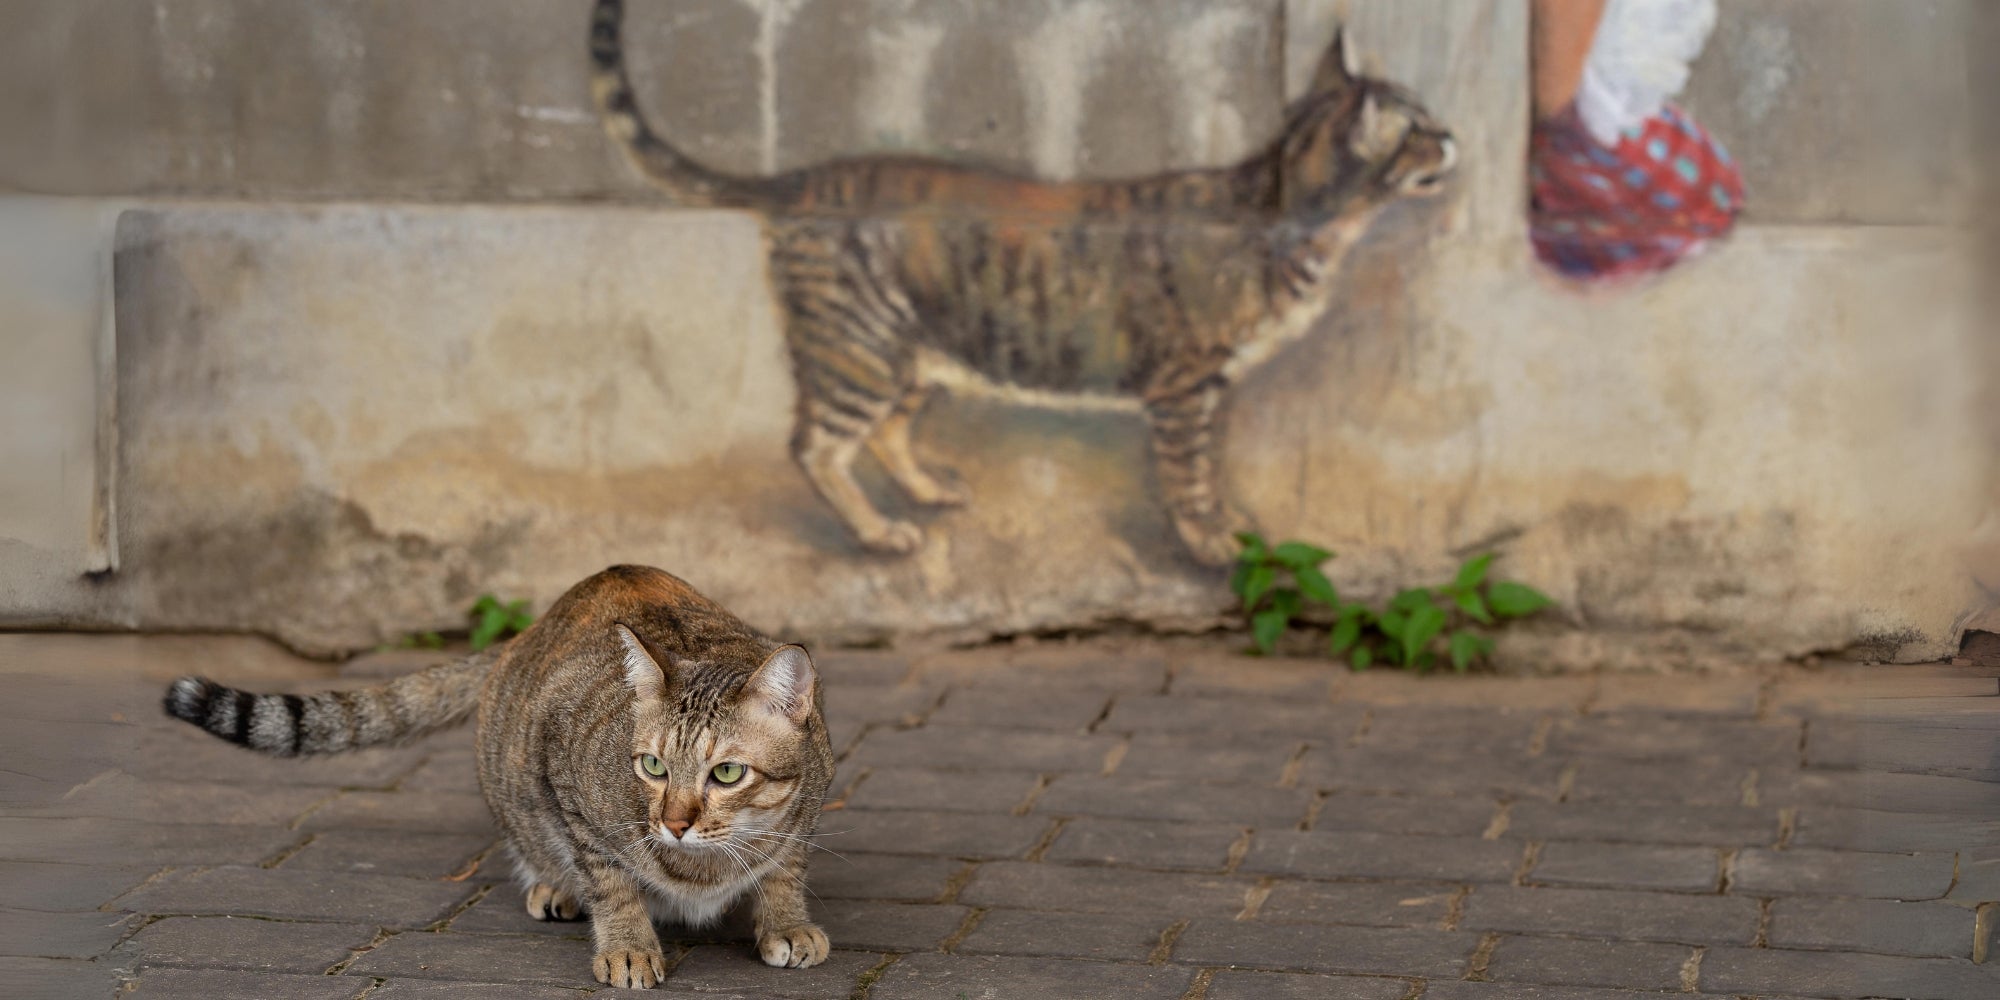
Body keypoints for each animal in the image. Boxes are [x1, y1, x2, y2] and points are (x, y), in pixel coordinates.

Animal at [160, 568, 836, 988]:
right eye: (652, 766)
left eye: (727, 773)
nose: (672, 823)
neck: (705, 868)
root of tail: (526, 629)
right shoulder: (564, 779)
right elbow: (610, 878)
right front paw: (627, 944)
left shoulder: (808, 808)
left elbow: (786, 866)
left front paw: (785, 922)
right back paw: (554, 886)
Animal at [588, 0, 1456, 568]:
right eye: (1416, 128)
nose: (1451, 135)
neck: (1287, 214)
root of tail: (804, 178)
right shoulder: (1187, 385)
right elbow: (1189, 474)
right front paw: (1211, 543)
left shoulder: (1211, 385)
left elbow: (1209, 470)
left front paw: (1229, 521)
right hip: (857, 349)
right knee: (817, 444)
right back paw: (876, 532)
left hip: (913, 352)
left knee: (886, 430)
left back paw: (925, 492)